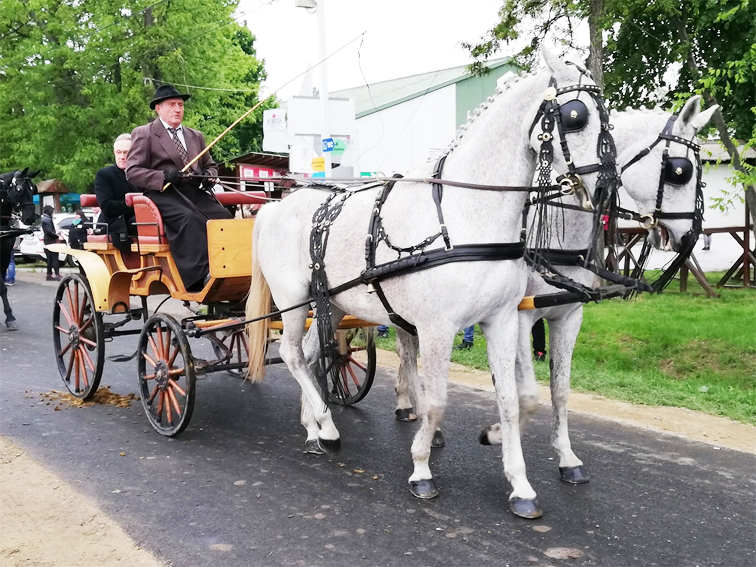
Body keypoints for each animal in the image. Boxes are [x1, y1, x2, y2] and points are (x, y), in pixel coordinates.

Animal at [250, 48, 620, 520]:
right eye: (575, 115)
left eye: (608, 115)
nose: (608, 187)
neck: (465, 214)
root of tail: (275, 206)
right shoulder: (436, 328)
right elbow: (436, 400)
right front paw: (422, 468)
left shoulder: (502, 320)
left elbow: (512, 401)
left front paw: (519, 484)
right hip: (294, 300)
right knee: (292, 354)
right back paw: (328, 429)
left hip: (330, 303)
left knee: (314, 354)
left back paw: (314, 428)